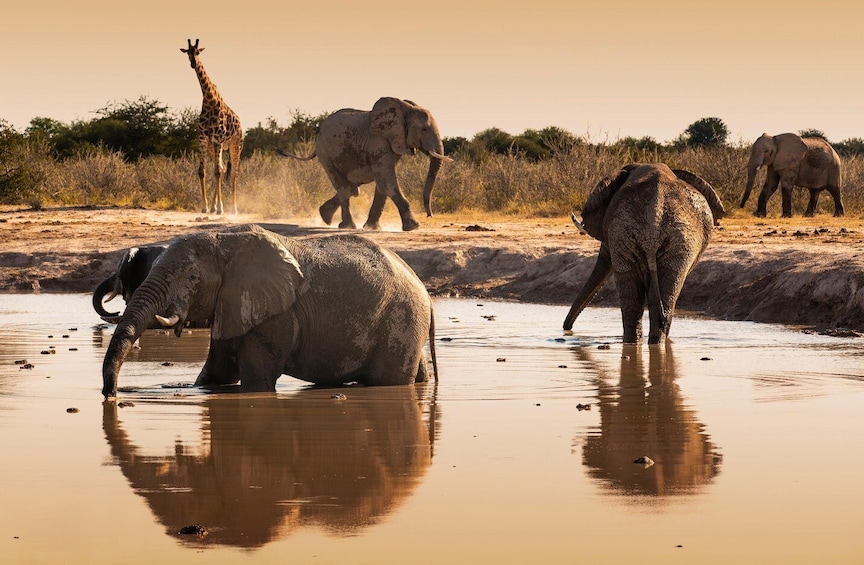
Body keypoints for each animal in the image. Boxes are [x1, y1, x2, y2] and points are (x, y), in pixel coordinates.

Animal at [101, 224, 438, 397]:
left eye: (193, 279)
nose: (111, 394)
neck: (226, 241)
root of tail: (426, 293)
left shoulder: (277, 315)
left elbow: (256, 382)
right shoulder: (232, 302)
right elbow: (217, 374)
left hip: (401, 321)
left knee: (387, 380)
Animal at [180, 39, 243, 215]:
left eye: (198, 52)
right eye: (188, 52)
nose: (193, 63)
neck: (208, 100)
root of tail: (241, 125)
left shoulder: (218, 139)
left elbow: (216, 172)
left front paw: (221, 207)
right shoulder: (203, 139)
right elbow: (202, 171)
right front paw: (205, 206)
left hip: (235, 145)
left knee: (233, 173)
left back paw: (234, 208)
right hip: (212, 146)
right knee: (221, 167)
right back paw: (215, 206)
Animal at [277, 97, 451, 232]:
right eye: (424, 129)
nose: (430, 215)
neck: (404, 108)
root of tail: (317, 138)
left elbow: (382, 185)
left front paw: (372, 228)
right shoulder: (379, 141)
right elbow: (387, 181)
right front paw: (414, 227)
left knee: (352, 188)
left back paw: (326, 217)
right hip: (326, 155)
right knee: (344, 188)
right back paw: (348, 226)